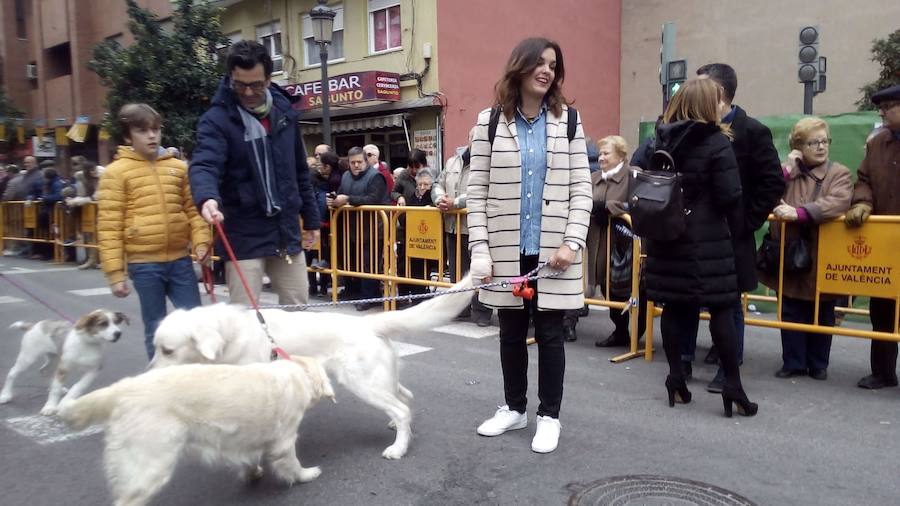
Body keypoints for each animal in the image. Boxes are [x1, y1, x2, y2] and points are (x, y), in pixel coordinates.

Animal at [0, 308, 130, 416]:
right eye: (103, 323)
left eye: (117, 322)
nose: (118, 334)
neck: (87, 344)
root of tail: (33, 325)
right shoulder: (63, 368)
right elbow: (56, 390)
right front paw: (50, 407)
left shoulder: (93, 371)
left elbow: (78, 387)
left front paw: (64, 403)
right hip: (28, 357)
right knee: (12, 373)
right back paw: (6, 395)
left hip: (54, 359)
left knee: (44, 371)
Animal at [59, 356, 334, 506]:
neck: (297, 372)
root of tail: (121, 389)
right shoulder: (284, 440)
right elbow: (292, 463)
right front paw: (306, 474)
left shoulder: (245, 438)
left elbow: (249, 458)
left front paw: (252, 473)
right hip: (150, 464)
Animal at [153, 274, 478, 460]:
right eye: (156, 347)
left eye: (168, 350)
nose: (151, 371)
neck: (232, 334)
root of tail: (368, 322)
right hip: (381, 378)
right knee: (405, 399)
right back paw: (400, 431)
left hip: (364, 383)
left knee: (401, 408)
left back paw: (398, 448)